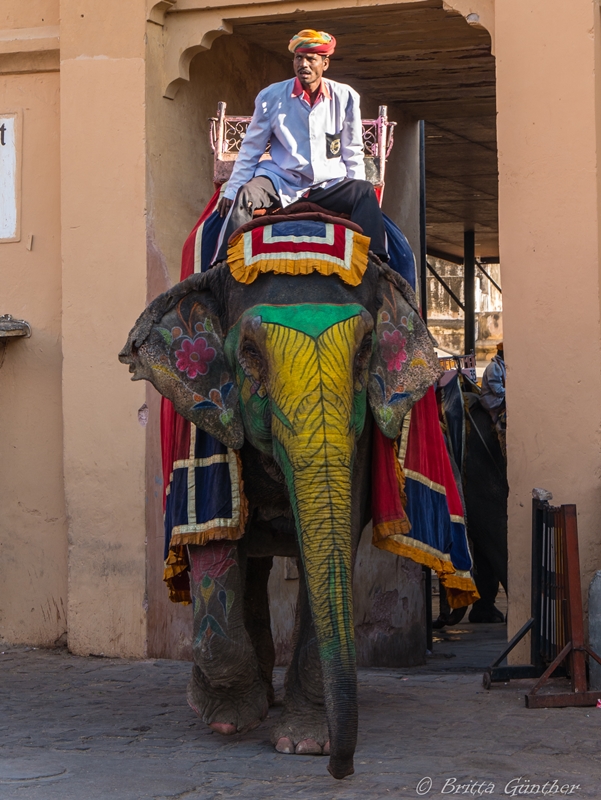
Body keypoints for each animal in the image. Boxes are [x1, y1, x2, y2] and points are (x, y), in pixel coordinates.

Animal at [118, 234, 436, 780]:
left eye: (365, 352)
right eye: (248, 352)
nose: (342, 769)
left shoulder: (360, 441)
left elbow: (330, 547)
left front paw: (304, 742)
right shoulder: (206, 424)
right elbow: (214, 537)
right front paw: (226, 717)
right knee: (247, 564)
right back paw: (251, 700)